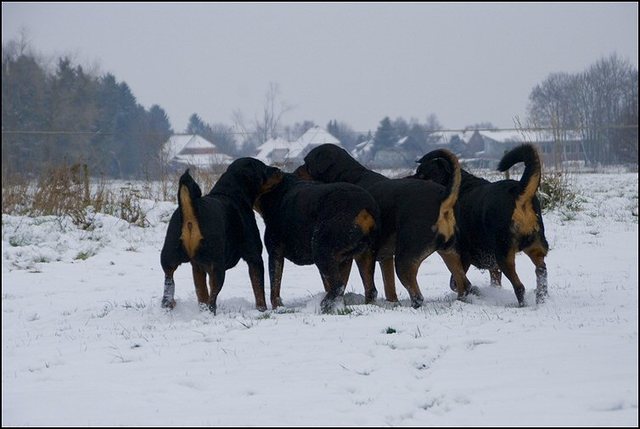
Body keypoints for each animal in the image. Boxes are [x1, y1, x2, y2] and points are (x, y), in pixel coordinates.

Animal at [159, 159, 280, 312]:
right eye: (263, 168)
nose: (279, 170)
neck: (231, 193)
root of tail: (191, 212)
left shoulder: (197, 266)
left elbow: (201, 291)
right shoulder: (254, 257)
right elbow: (258, 288)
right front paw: (262, 310)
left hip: (169, 257)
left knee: (169, 280)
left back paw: (169, 304)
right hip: (216, 267)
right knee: (213, 296)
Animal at [256, 166, 380, 310]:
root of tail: (365, 209)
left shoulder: (275, 252)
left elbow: (275, 286)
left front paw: (278, 307)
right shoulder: (344, 259)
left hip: (321, 250)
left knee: (338, 287)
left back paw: (323, 305)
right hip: (365, 253)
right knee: (370, 289)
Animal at [294, 144, 470, 308]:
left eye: (307, 163)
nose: (294, 173)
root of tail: (443, 199)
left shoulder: (353, 255)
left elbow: (348, 283)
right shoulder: (384, 257)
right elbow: (388, 286)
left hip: (405, 259)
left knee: (417, 295)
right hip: (449, 251)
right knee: (465, 284)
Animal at [416, 144, 552, 304]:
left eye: (423, 176)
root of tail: (519, 192)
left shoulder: (463, 254)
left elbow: (455, 282)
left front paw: (473, 291)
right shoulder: (492, 264)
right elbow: (494, 280)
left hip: (504, 253)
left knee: (519, 286)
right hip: (536, 246)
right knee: (541, 271)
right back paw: (541, 299)